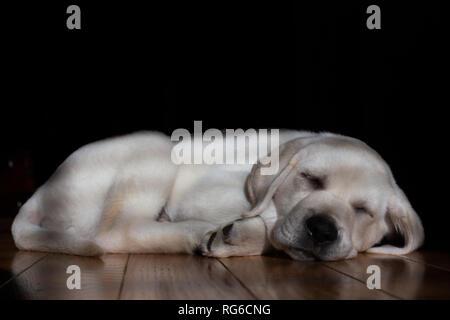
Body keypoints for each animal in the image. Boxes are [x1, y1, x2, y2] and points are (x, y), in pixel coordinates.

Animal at [12, 130, 424, 260]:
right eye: (310, 179)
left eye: (364, 211)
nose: (322, 230)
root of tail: (41, 191)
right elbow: (268, 220)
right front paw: (246, 231)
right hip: (157, 147)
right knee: (116, 233)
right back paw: (201, 234)